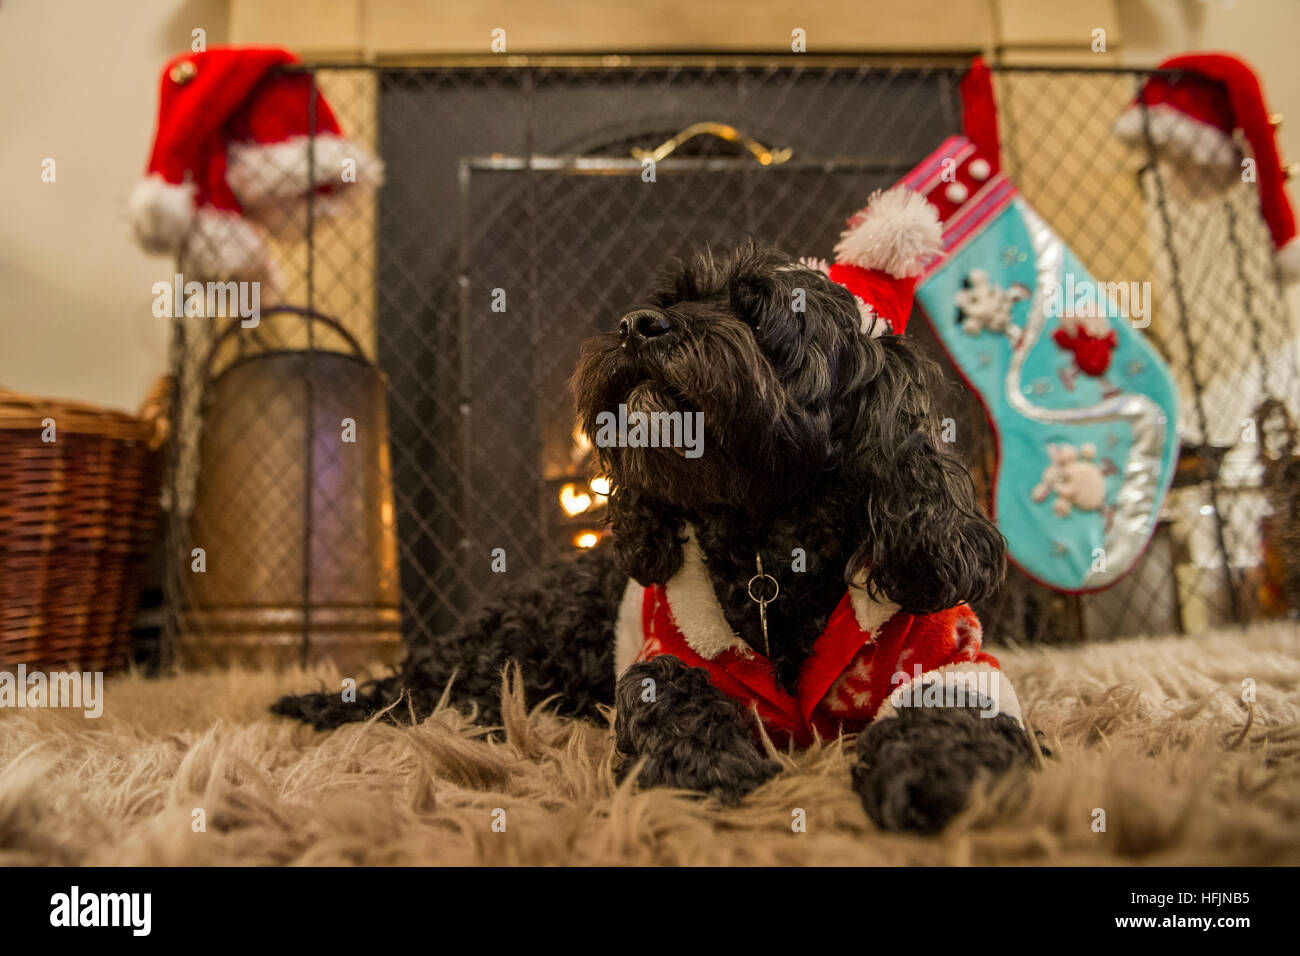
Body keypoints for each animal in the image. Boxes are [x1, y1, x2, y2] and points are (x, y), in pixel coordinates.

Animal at [274, 243, 1034, 832]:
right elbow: (675, 697)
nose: (636, 325)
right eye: (670, 296)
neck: (767, 557)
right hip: (513, 651)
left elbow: (959, 711)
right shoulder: (672, 651)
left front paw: (939, 772)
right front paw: (719, 768)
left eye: (760, 309)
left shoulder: (942, 655)